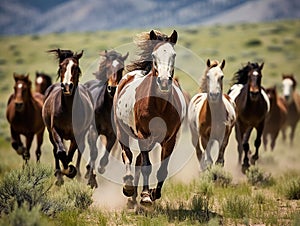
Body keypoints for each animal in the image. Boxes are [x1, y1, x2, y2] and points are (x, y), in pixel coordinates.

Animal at [41, 49, 94, 185]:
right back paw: (59, 176)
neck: (68, 110)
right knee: (55, 150)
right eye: (61, 66)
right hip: (50, 132)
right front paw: (63, 173)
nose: (66, 86)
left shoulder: (77, 134)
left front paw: (71, 171)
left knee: (79, 151)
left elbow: (70, 154)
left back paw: (78, 174)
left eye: (76, 67)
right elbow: (60, 152)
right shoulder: (55, 130)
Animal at [83, 50, 127, 189]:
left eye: (121, 68)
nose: (112, 89)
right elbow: (94, 152)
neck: (106, 107)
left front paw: (101, 168)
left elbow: (106, 154)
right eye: (107, 67)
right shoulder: (93, 130)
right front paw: (91, 179)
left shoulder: (112, 133)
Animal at [113, 30, 186, 207]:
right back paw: (129, 188)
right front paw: (146, 195)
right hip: (123, 132)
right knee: (128, 156)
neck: (159, 105)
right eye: (154, 55)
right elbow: (147, 165)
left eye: (174, 54)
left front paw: (154, 194)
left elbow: (162, 170)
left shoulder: (169, 140)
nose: (164, 81)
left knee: (138, 160)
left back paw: (133, 198)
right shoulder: (143, 135)